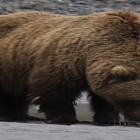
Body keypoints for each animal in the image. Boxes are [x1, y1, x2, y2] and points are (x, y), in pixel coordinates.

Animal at [0, 10, 140, 124]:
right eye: (135, 99)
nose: (137, 119)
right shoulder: (66, 60)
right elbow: (55, 89)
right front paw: (65, 117)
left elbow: (103, 98)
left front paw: (111, 119)